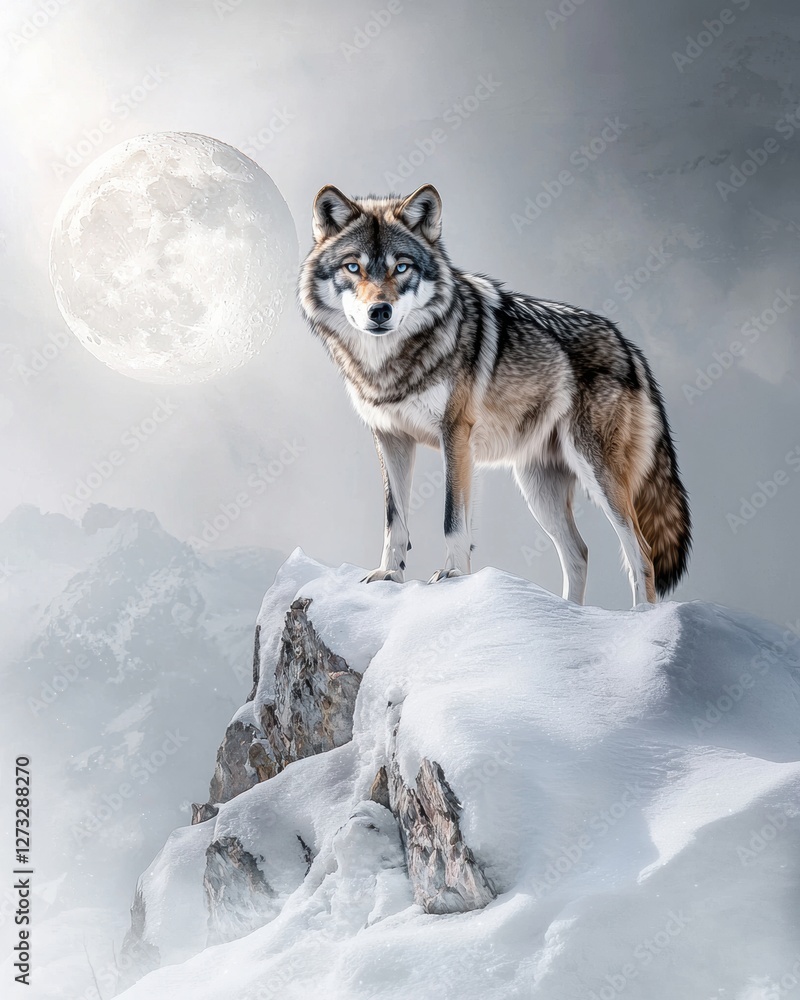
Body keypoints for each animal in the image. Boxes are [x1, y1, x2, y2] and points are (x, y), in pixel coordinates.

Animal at [298, 183, 691, 606]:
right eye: (353, 267)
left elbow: (453, 518)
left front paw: (454, 575)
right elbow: (394, 519)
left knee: (641, 553)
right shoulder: (391, 437)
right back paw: (568, 616)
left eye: (401, 267)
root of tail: (628, 346)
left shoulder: (456, 434)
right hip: (538, 487)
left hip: (596, 473)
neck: (391, 363)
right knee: (579, 552)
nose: (380, 311)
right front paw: (389, 575)